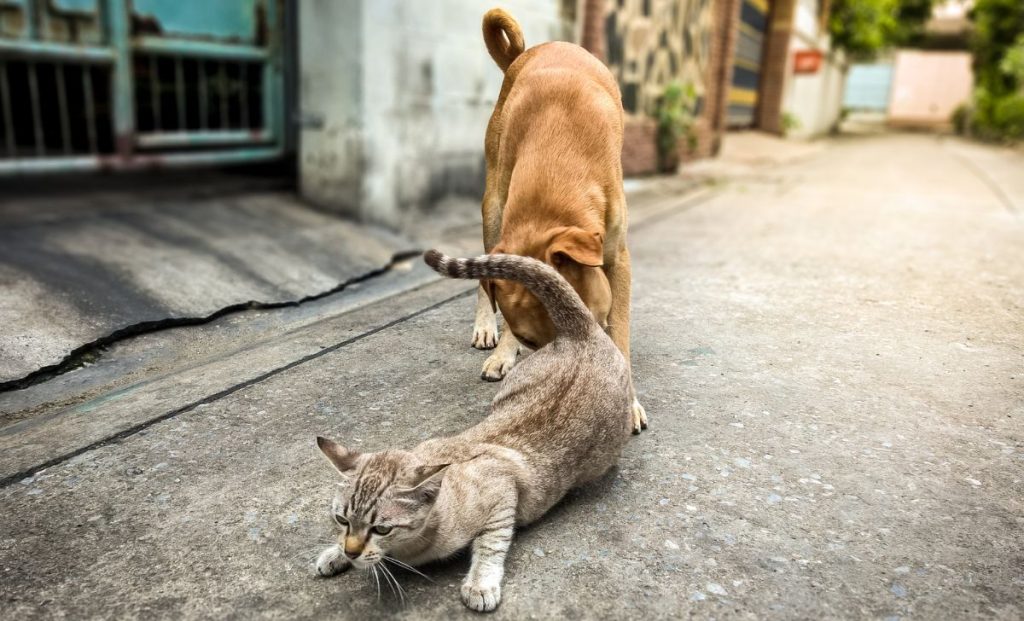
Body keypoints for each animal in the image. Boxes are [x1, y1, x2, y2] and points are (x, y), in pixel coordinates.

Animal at [311, 249, 630, 614]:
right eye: (342, 520)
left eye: (382, 528)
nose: (351, 551)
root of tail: (582, 331)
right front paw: (335, 553)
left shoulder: (503, 495)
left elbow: (491, 544)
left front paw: (480, 583)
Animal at [473, 7, 647, 436]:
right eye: (531, 340)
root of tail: (527, 52)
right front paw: (507, 348)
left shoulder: (618, 259)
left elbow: (620, 332)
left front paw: (628, 400)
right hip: (491, 206)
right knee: (485, 279)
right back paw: (489, 331)